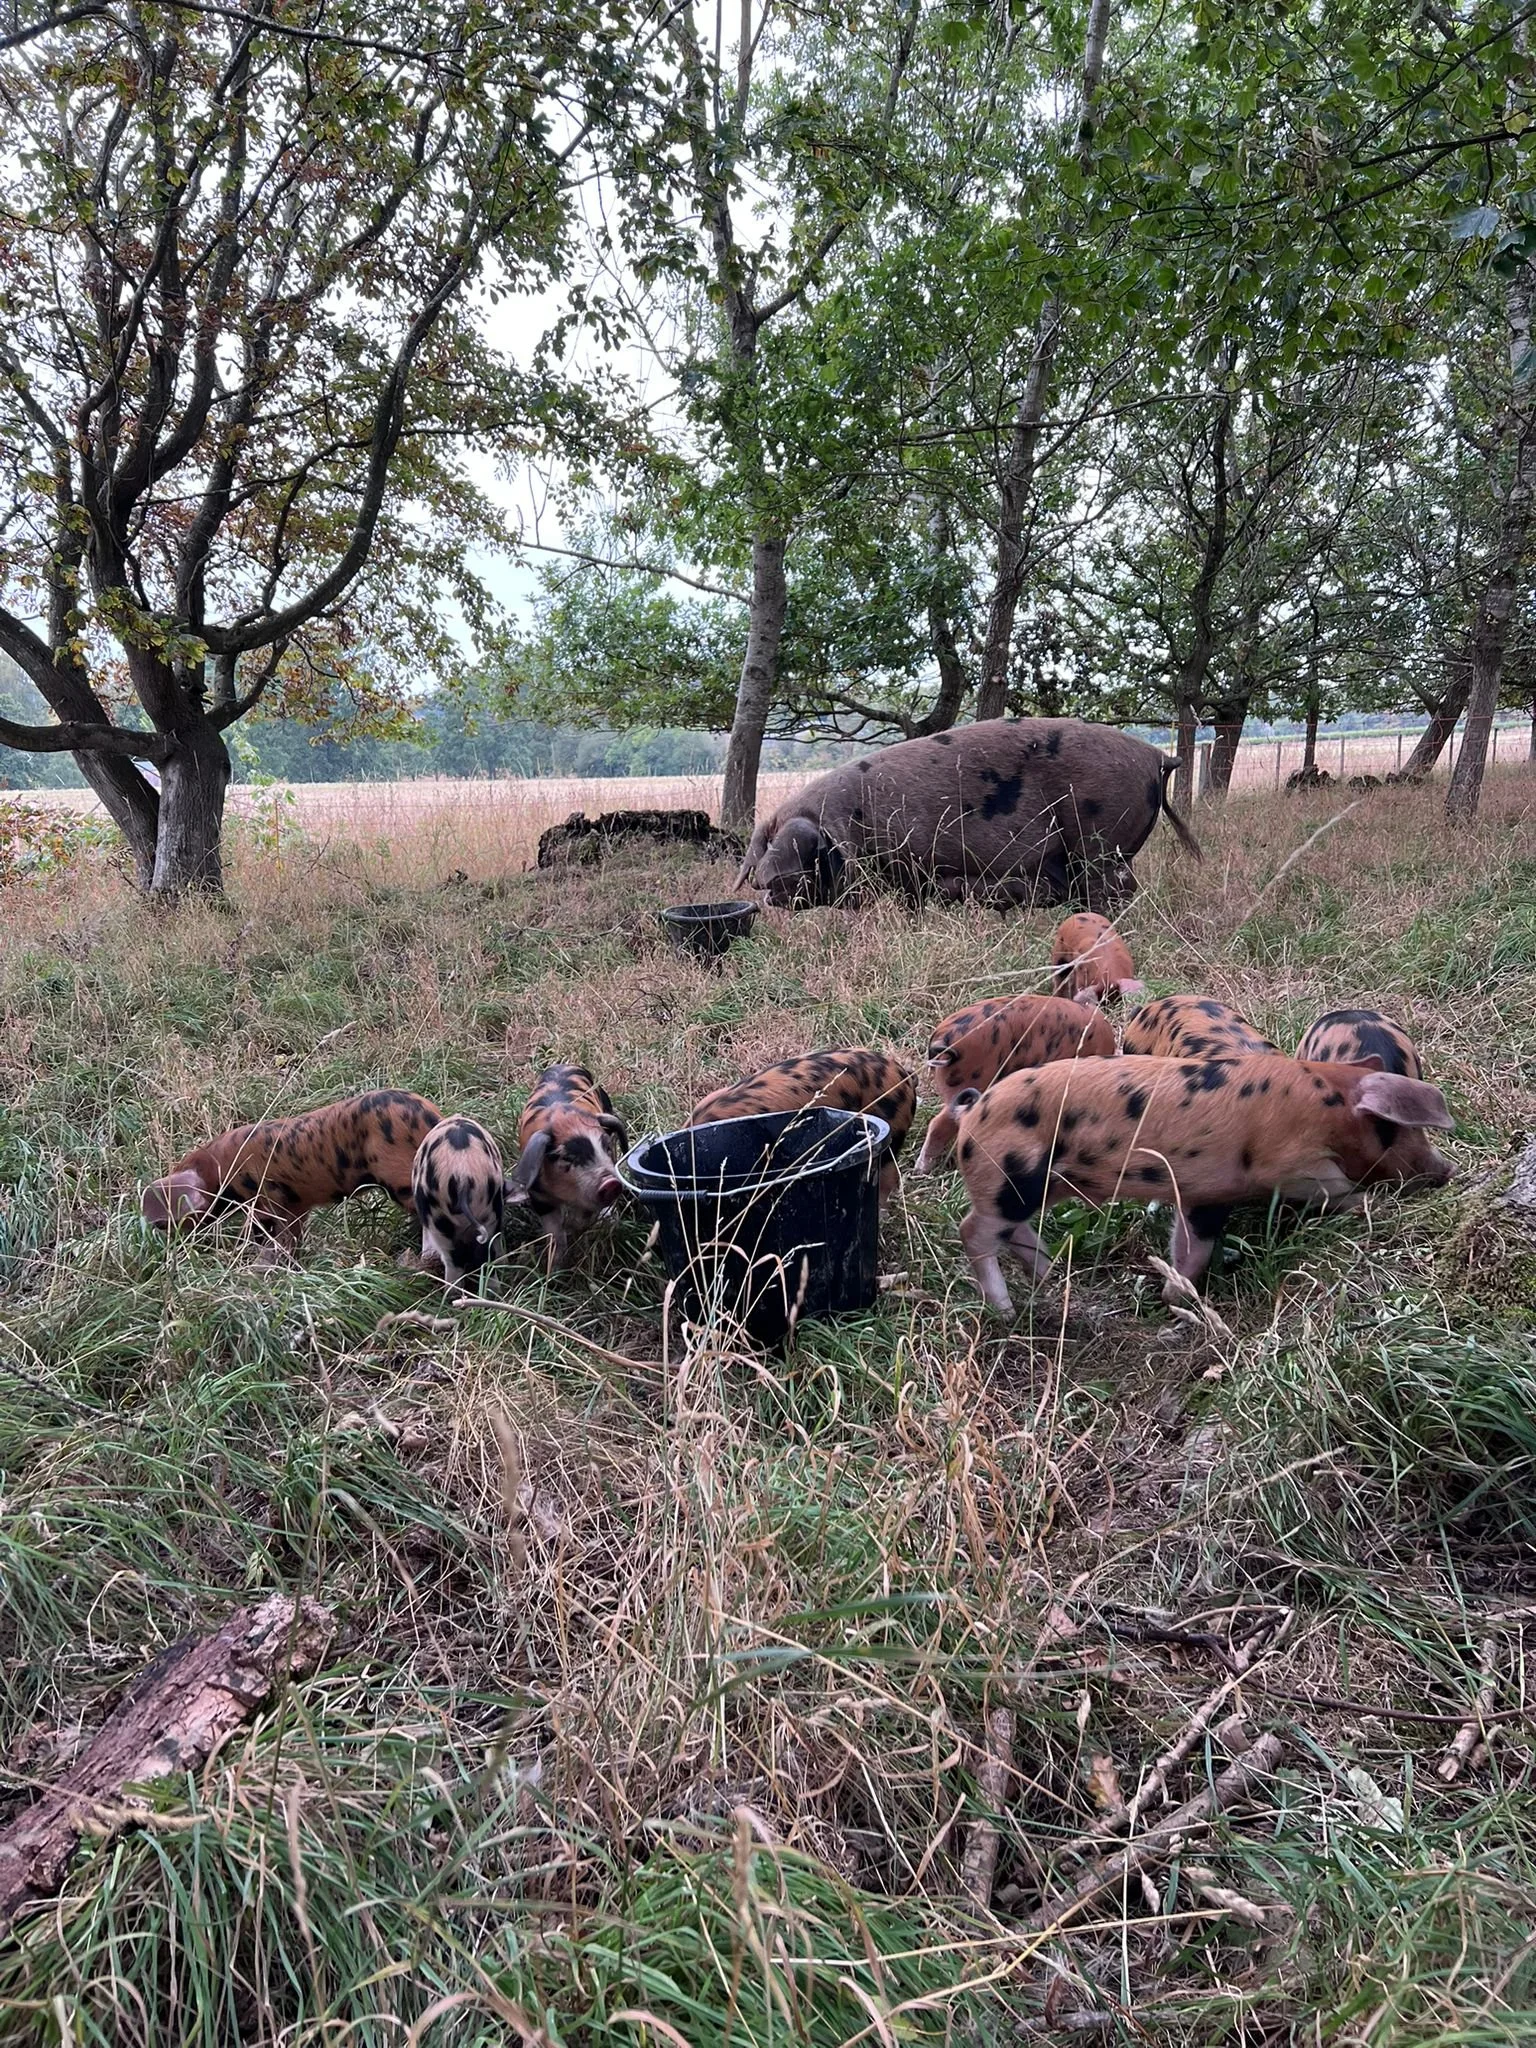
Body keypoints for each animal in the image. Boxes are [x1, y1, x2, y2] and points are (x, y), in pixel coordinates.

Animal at [141, 1090, 441, 1249]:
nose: (166, 1238)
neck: (224, 1169)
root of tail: (431, 1117)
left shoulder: (271, 1197)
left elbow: (274, 1230)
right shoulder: (297, 1202)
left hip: (398, 1174)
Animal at [506, 1065, 628, 1267]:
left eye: (606, 1147)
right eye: (566, 1157)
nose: (610, 1183)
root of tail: (564, 1065)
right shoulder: (539, 1196)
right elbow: (556, 1235)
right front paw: (553, 1267)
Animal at [952, 1052, 1455, 1314]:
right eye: (1393, 1127)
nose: (1446, 1171)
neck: (1327, 1104)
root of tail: (970, 1115)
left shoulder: (1205, 1192)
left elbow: (1193, 1245)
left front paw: (1174, 1296)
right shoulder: (1289, 1164)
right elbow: (1340, 1190)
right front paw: (1374, 1205)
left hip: (1038, 1187)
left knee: (1012, 1232)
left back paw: (1052, 1276)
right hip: (1012, 1176)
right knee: (971, 1230)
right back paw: (1006, 1309)